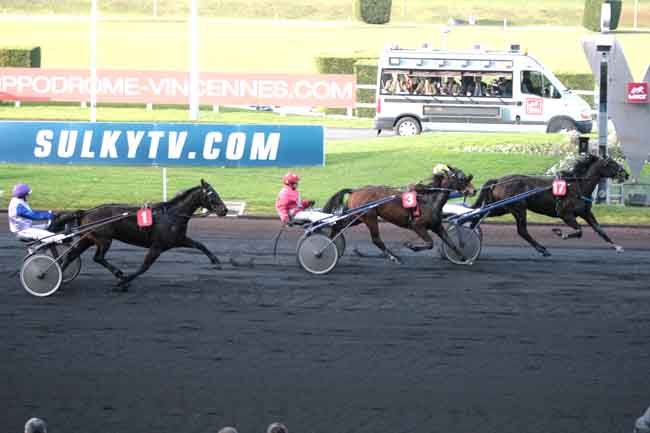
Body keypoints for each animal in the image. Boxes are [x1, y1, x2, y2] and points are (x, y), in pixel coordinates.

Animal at [51, 179, 228, 290]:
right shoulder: (157, 246)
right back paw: (119, 275)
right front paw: (124, 282)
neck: (171, 214)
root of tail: (86, 211)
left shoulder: (177, 239)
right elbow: (144, 267)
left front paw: (216, 261)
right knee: (98, 257)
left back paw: (57, 277)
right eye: (212, 194)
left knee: (72, 255)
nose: (224, 210)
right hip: (104, 239)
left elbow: (200, 245)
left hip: (88, 239)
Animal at [322, 165, 477, 264]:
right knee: (376, 239)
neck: (429, 201)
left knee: (338, 225)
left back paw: (330, 245)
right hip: (369, 217)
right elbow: (430, 243)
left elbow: (451, 243)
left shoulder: (437, 226)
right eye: (462, 178)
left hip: (357, 217)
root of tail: (355, 191)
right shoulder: (417, 226)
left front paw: (465, 258)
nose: (473, 191)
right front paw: (411, 246)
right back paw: (393, 257)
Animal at [471, 154, 629, 256]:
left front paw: (617, 247)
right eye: (612, 164)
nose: (626, 174)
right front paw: (560, 233)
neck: (577, 186)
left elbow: (599, 230)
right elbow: (579, 231)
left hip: (501, 208)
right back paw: (542, 249)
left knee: (480, 215)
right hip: (518, 208)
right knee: (522, 231)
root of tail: (498, 180)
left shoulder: (585, 213)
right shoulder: (565, 213)